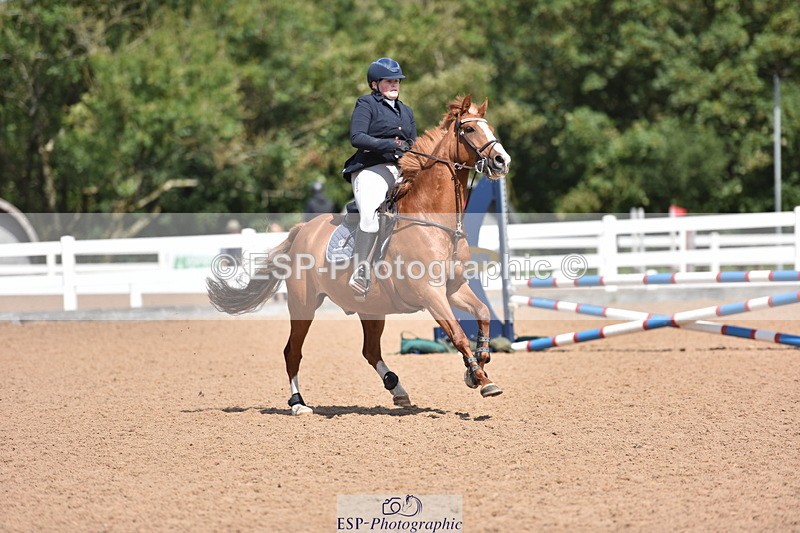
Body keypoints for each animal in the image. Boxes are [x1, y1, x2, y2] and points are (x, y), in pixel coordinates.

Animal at [207, 95, 512, 415]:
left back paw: (397, 389)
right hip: (303, 304)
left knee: (370, 350)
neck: (432, 219)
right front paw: (481, 378)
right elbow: (457, 334)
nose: (502, 161)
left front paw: (480, 362)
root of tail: (302, 230)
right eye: (468, 129)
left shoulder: (453, 288)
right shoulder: (430, 293)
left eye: (489, 127)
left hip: (371, 308)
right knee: (293, 351)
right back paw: (298, 403)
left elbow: (483, 313)